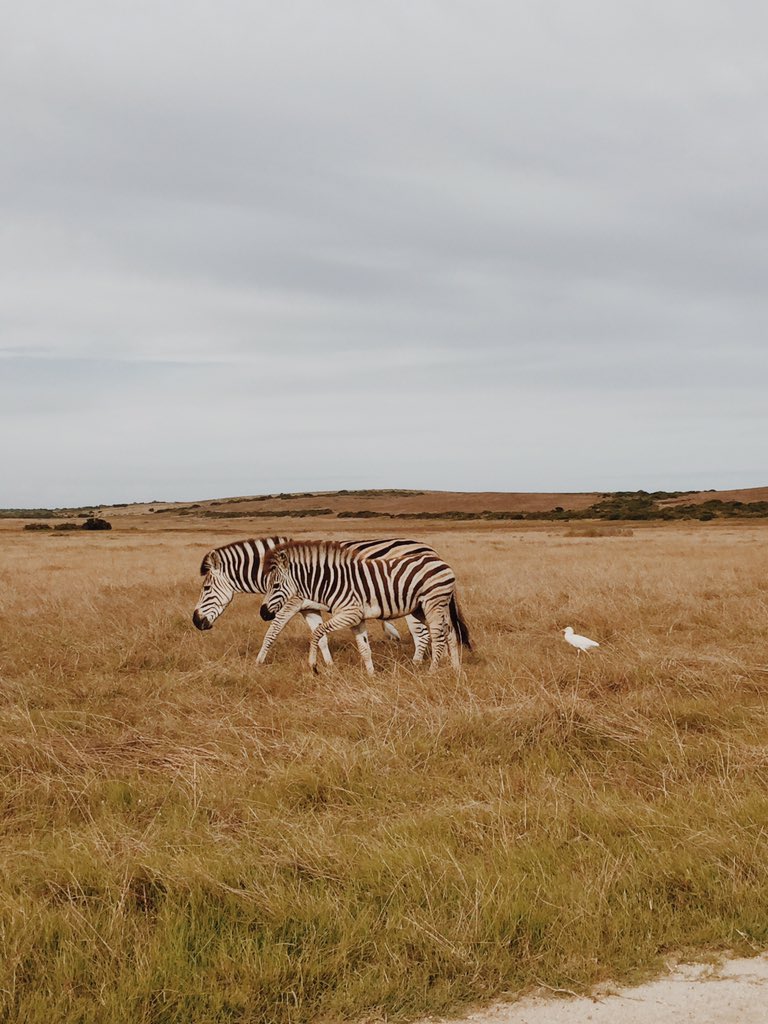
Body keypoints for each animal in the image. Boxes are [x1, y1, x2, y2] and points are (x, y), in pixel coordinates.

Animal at [191, 536, 434, 664]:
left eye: (206, 588)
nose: (196, 621)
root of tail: (427, 547)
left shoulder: (290, 603)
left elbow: (272, 632)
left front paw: (258, 663)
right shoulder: (307, 608)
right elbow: (321, 636)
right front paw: (329, 667)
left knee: (421, 634)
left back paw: (415, 665)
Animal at [257, 540, 471, 674]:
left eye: (275, 586)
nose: (263, 613)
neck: (331, 582)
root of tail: (440, 560)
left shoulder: (349, 614)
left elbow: (317, 632)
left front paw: (313, 666)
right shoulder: (356, 619)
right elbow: (364, 648)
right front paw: (371, 675)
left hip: (432, 603)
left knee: (438, 637)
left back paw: (432, 672)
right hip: (424, 608)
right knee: (450, 633)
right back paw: (456, 669)